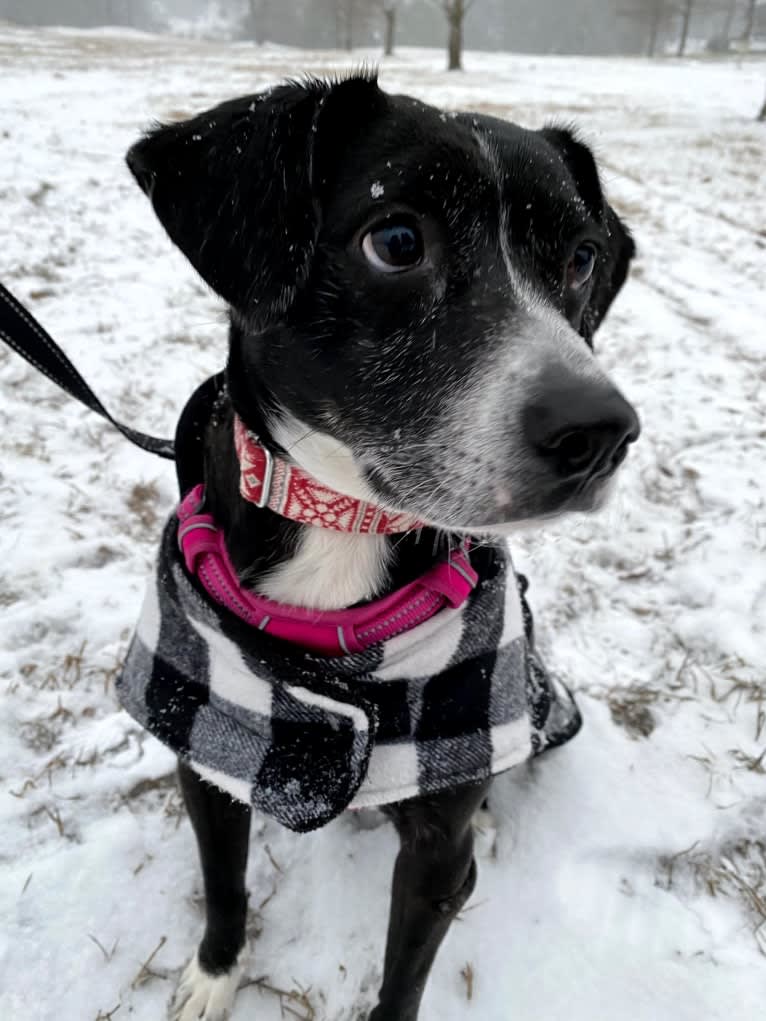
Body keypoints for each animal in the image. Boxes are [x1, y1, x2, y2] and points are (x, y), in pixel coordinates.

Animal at [124, 74, 641, 1021]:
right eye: (396, 240)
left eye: (583, 258)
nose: (599, 431)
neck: (343, 523)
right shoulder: (207, 750)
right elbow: (224, 883)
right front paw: (214, 974)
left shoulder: (438, 856)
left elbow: (405, 972)